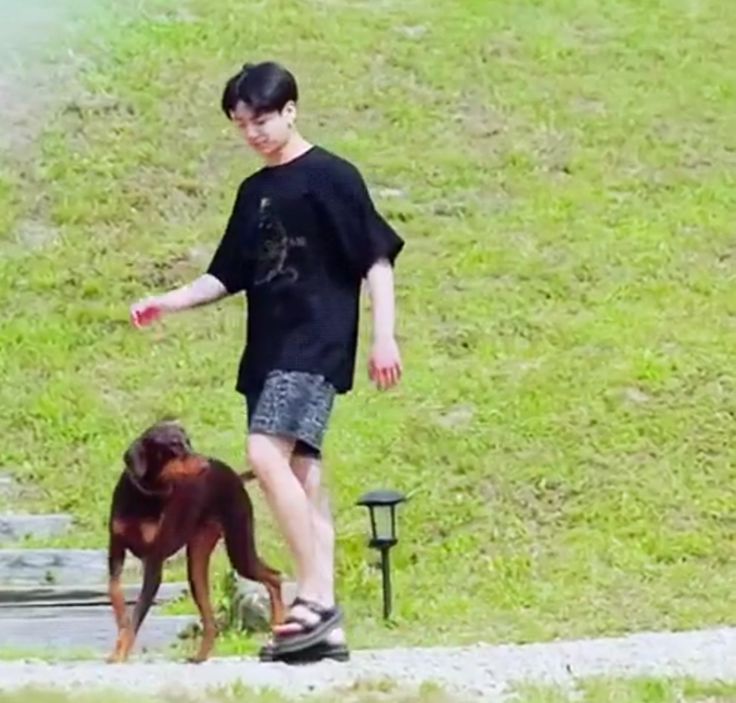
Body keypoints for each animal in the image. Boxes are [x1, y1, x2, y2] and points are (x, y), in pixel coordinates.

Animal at [106, 420, 284, 664]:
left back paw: (279, 625)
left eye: (188, 442)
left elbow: (136, 617)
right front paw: (120, 635)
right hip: (197, 564)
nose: (206, 464)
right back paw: (199, 657)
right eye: (175, 445)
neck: (145, 495)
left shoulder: (153, 563)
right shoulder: (116, 550)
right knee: (211, 622)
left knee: (274, 577)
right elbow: (116, 595)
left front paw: (120, 653)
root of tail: (235, 476)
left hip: (239, 549)